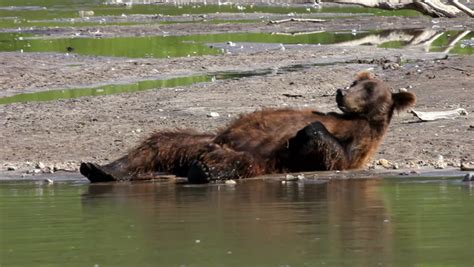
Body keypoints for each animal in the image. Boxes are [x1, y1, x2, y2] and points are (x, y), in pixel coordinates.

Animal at [80, 71, 414, 184]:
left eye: (367, 88)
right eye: (354, 81)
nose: (341, 92)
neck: (361, 119)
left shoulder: (359, 143)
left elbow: (332, 154)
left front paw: (308, 131)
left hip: (252, 156)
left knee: (240, 162)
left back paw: (203, 170)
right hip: (200, 139)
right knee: (158, 142)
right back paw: (99, 168)